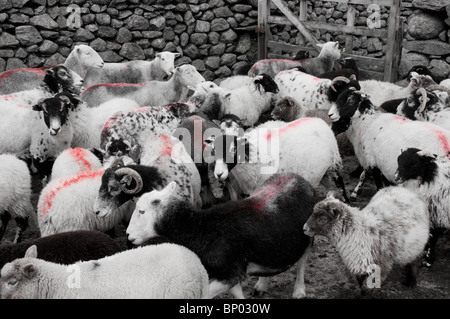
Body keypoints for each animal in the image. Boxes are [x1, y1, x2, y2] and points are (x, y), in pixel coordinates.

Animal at [125, 174, 316, 298]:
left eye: (141, 211)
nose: (128, 235)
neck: (200, 228)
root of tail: (298, 177)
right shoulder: (231, 274)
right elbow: (238, 295)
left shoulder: (228, 274)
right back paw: (262, 285)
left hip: (308, 233)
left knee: (302, 260)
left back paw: (299, 290)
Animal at [206, 117, 350, 202]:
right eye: (213, 150)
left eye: (234, 149)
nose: (219, 173)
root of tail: (319, 119)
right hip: (323, 173)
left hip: (334, 165)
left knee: (341, 187)